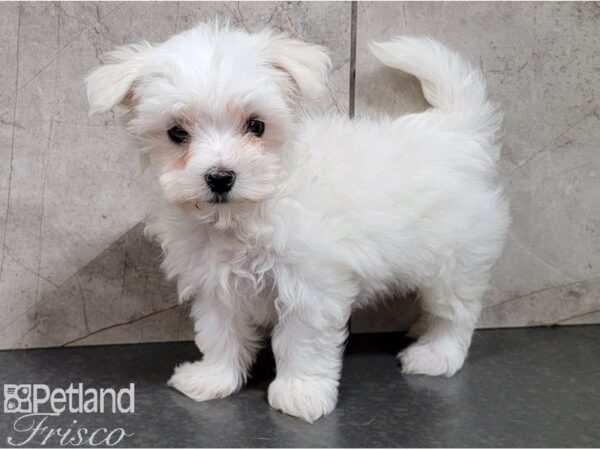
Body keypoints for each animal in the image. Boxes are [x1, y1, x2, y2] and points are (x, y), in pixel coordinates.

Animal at [88, 20, 510, 422]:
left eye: (256, 126)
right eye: (176, 133)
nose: (220, 177)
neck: (244, 214)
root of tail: (459, 132)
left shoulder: (310, 286)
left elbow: (301, 343)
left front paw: (300, 393)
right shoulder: (215, 282)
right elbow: (220, 333)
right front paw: (213, 378)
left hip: (455, 259)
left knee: (457, 312)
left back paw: (437, 354)